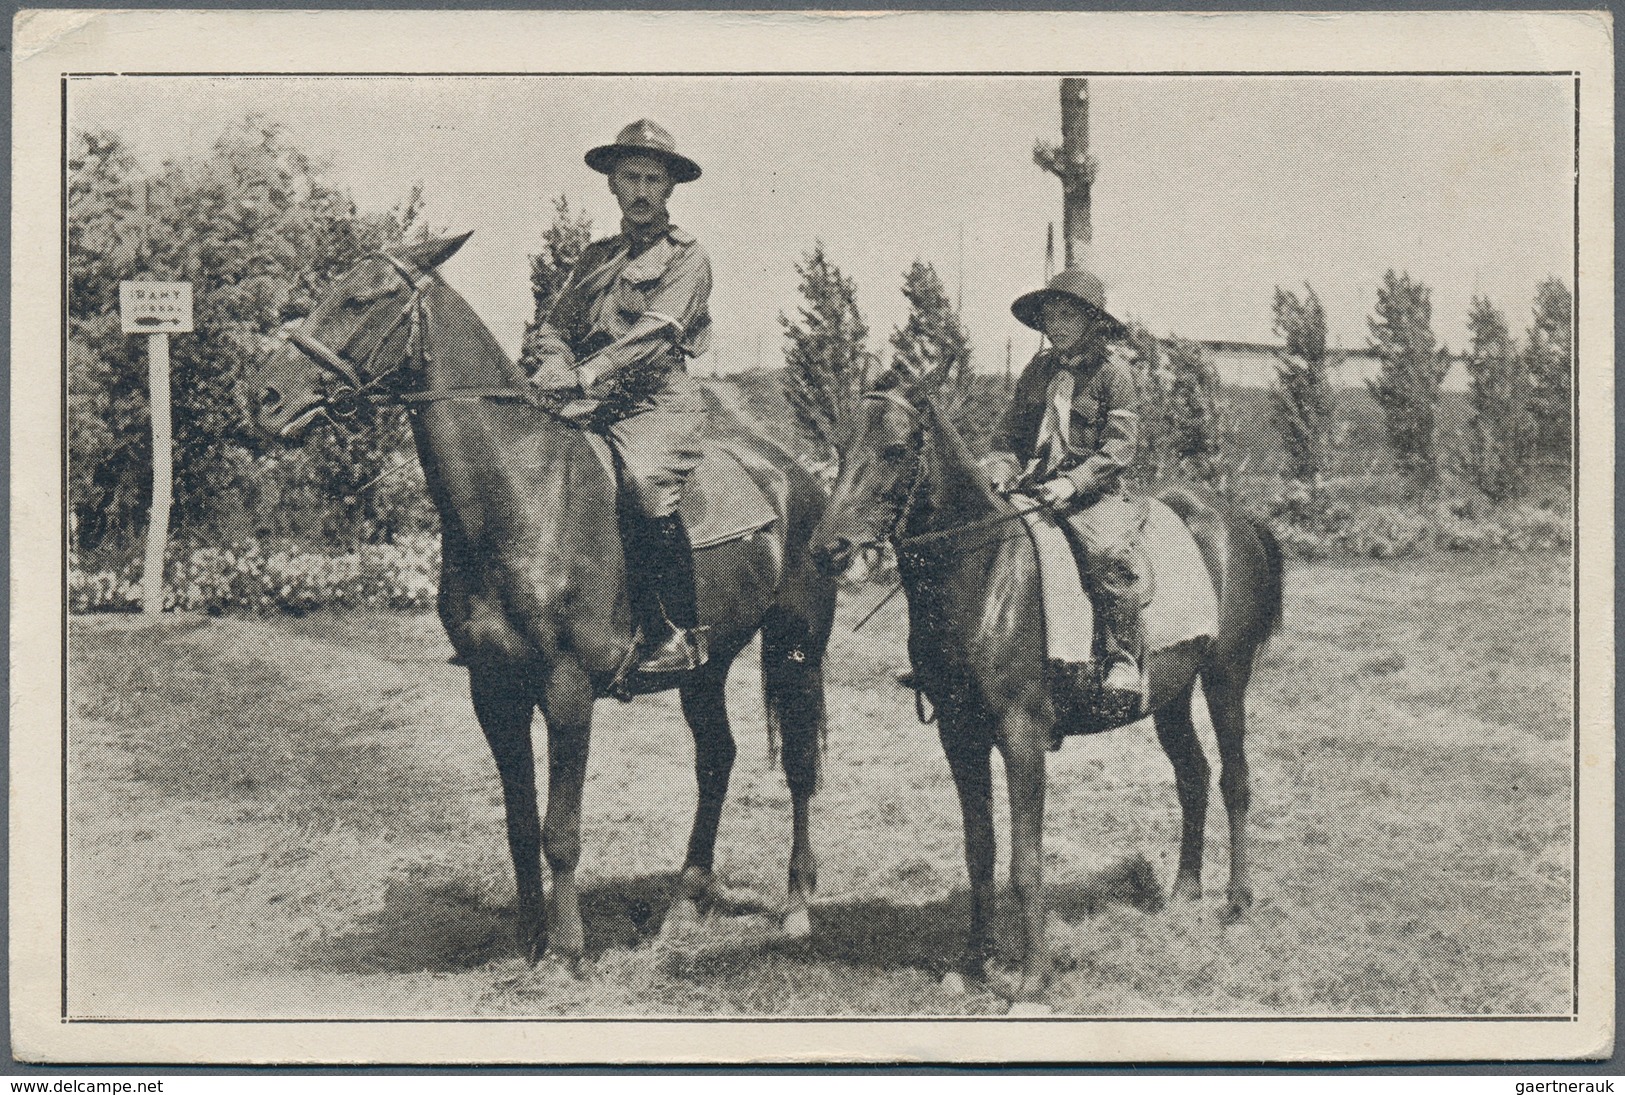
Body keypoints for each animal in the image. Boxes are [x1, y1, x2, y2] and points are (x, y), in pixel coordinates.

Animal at [256, 232, 838, 961]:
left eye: (363, 298)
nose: (267, 397)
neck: (521, 491)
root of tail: (794, 473)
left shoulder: (566, 689)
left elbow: (560, 829)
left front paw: (565, 949)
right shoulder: (492, 688)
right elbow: (519, 822)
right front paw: (527, 939)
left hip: (796, 644)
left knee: (799, 766)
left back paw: (796, 906)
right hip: (707, 665)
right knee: (716, 759)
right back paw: (684, 905)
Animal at [809, 360, 1280, 1007]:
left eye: (896, 450)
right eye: (839, 446)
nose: (827, 549)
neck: (984, 577)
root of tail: (1237, 520)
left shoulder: (1021, 734)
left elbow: (1025, 859)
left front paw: (1033, 978)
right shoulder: (958, 733)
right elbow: (980, 851)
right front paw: (974, 963)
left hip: (1226, 676)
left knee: (1235, 779)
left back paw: (1236, 904)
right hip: (1171, 695)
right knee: (1194, 774)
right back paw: (1183, 894)